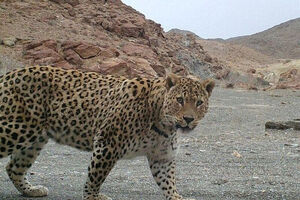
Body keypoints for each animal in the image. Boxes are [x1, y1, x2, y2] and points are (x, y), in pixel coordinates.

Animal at [0, 65, 216, 200]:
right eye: (180, 100)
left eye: (199, 102)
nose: (188, 119)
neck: (163, 123)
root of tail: (8, 74)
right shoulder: (108, 143)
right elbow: (96, 175)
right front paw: (92, 196)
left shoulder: (161, 156)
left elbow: (167, 181)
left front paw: (177, 196)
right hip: (15, 129)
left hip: (34, 139)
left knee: (14, 167)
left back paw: (31, 190)